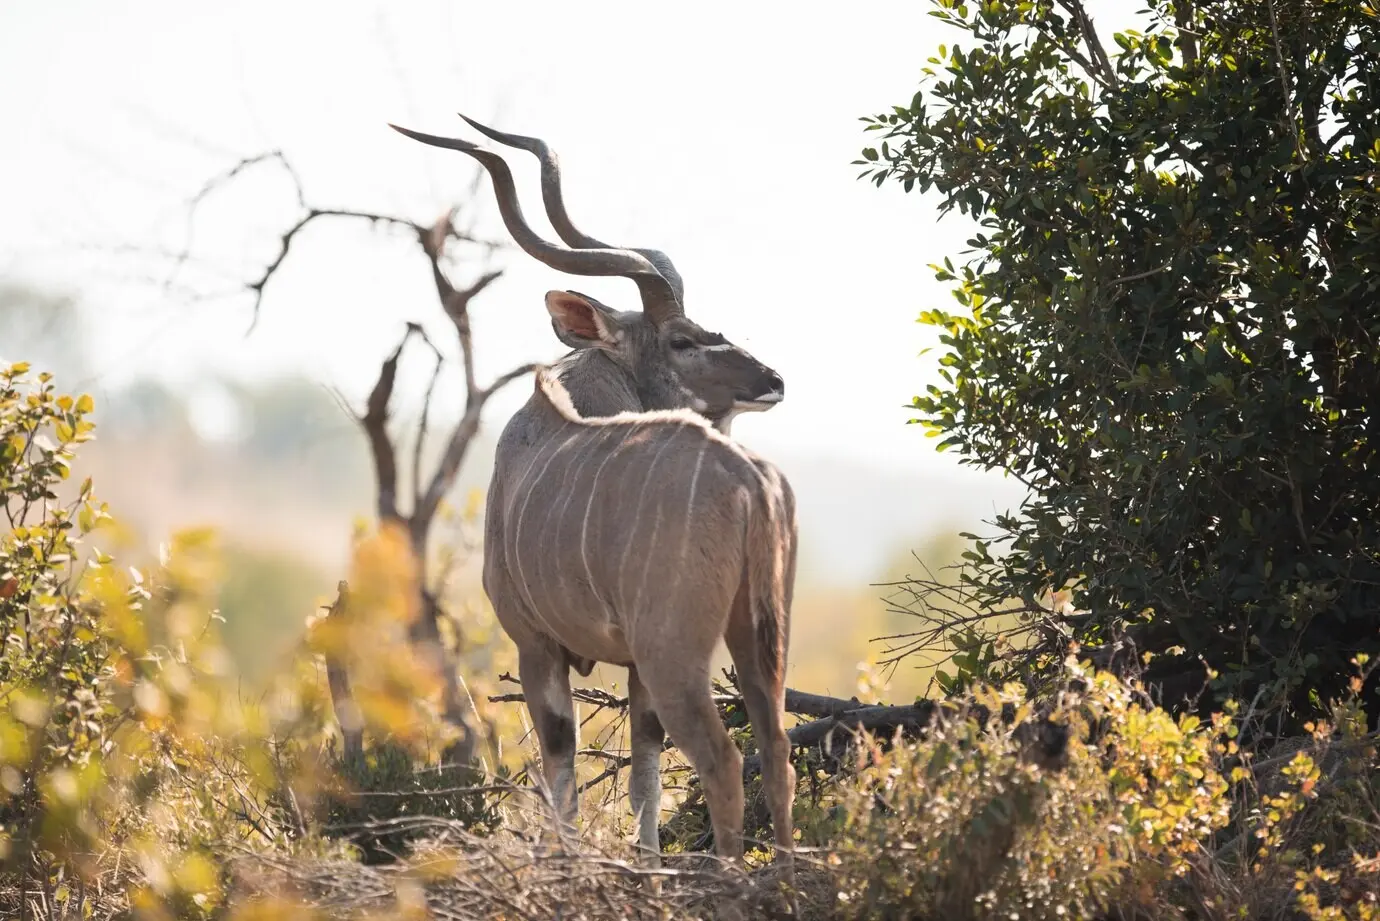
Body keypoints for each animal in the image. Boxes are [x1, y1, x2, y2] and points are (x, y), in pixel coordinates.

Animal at [389, 116, 798, 872]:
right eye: (683, 338)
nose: (773, 379)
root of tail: (750, 483)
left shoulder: (536, 643)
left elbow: (562, 772)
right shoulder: (626, 664)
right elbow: (643, 775)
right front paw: (649, 869)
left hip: (677, 651)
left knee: (724, 758)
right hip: (757, 642)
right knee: (775, 746)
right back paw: (779, 875)